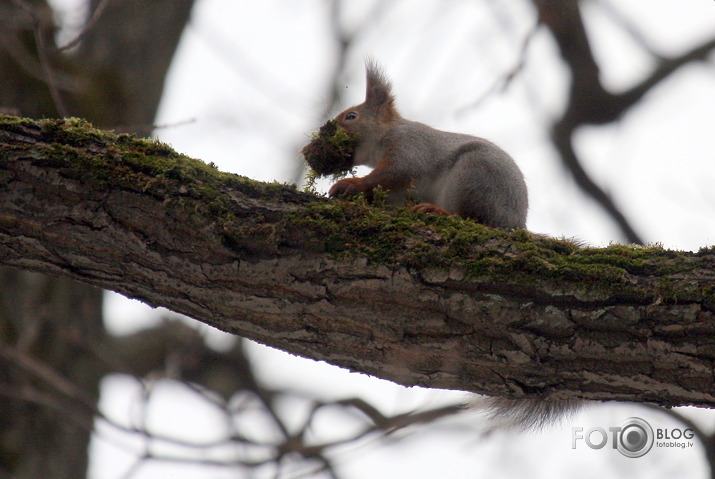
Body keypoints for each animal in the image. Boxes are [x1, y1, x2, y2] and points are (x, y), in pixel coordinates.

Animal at [328, 60, 524, 231]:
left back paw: (436, 211)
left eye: (351, 116)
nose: (328, 130)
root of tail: (516, 223)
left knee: (474, 219)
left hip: (475, 178)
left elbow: (395, 172)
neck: (388, 132)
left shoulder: (410, 146)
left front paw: (351, 183)